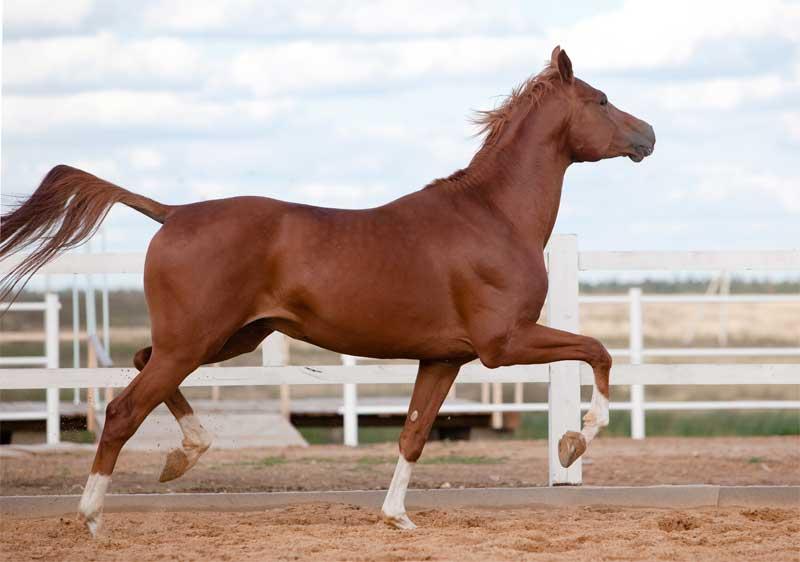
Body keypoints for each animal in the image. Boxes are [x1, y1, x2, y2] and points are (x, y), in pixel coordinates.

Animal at [0, 46, 654, 535]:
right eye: (599, 100)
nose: (648, 134)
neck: (492, 216)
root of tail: (173, 213)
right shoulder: (505, 343)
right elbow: (598, 351)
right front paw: (574, 442)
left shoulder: (444, 358)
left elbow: (414, 432)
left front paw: (397, 518)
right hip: (196, 342)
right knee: (122, 410)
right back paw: (92, 516)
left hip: (227, 338)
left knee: (141, 363)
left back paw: (184, 454)